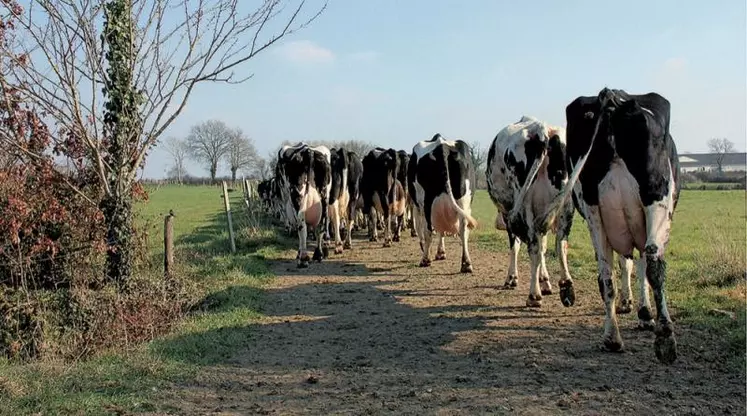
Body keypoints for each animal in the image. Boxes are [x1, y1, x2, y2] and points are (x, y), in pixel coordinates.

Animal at [410, 135, 480, 274]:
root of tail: (443, 147)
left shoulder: (418, 206)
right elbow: (442, 229)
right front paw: (441, 252)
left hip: (427, 202)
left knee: (428, 230)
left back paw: (425, 260)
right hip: (464, 200)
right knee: (463, 229)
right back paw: (466, 264)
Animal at [488, 115, 576, 308]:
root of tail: (541, 130)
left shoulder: (510, 213)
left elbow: (515, 245)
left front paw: (512, 278)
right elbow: (544, 246)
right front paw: (545, 281)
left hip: (525, 204)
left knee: (533, 247)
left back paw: (533, 295)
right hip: (566, 203)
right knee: (561, 244)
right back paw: (566, 287)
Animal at [536, 88, 684, 364]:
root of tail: (612, 97)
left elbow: (626, 264)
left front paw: (631, 306)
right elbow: (641, 266)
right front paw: (644, 314)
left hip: (593, 212)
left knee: (605, 276)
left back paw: (611, 338)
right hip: (656, 198)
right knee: (654, 263)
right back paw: (665, 337)